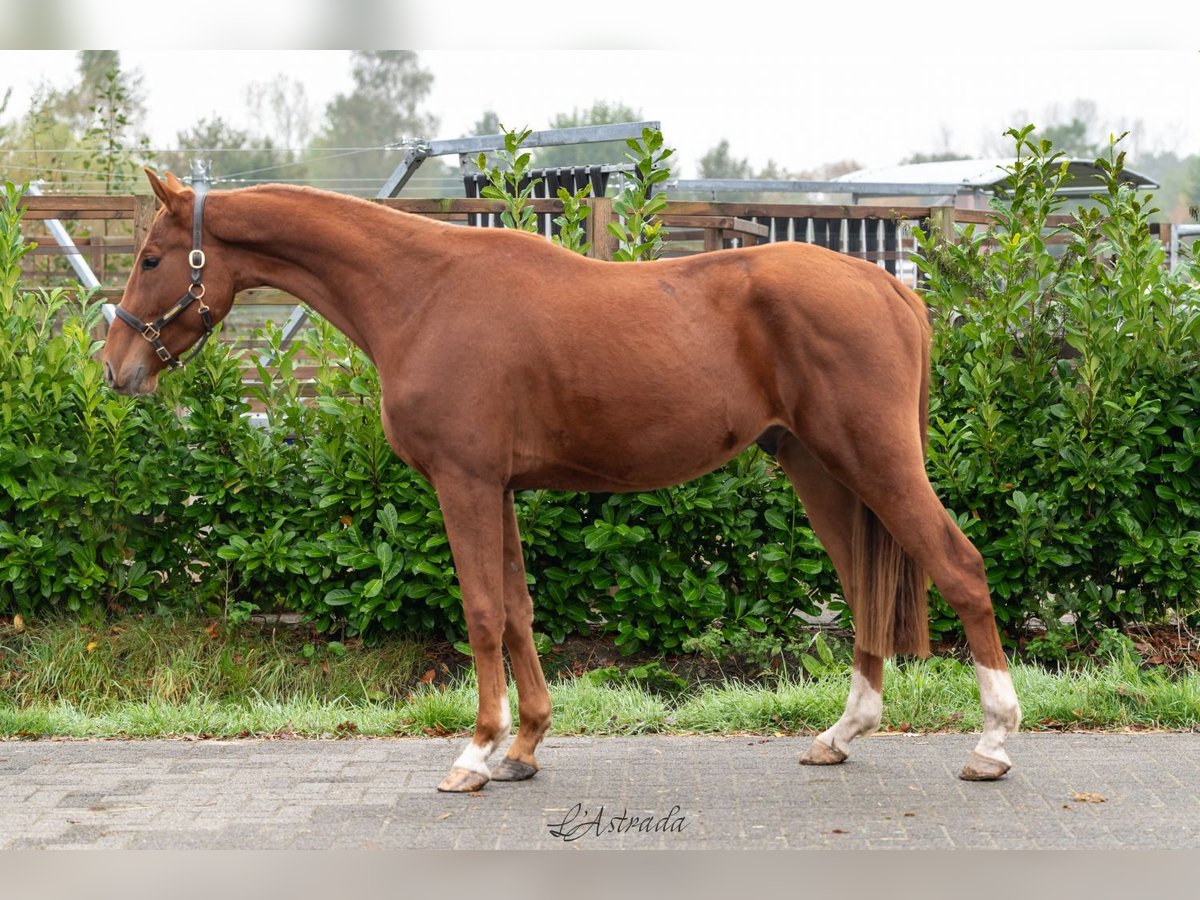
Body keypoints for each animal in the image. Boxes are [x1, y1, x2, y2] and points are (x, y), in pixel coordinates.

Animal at [105, 169, 1022, 787]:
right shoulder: (500, 488)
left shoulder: (464, 482)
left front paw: (476, 752)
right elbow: (517, 610)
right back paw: (842, 733)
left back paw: (992, 741)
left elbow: (481, 614)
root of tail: (891, 290)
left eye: (151, 258)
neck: (420, 292)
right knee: (866, 583)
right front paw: (524, 746)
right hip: (820, 468)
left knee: (959, 565)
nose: (116, 370)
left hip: (876, 460)